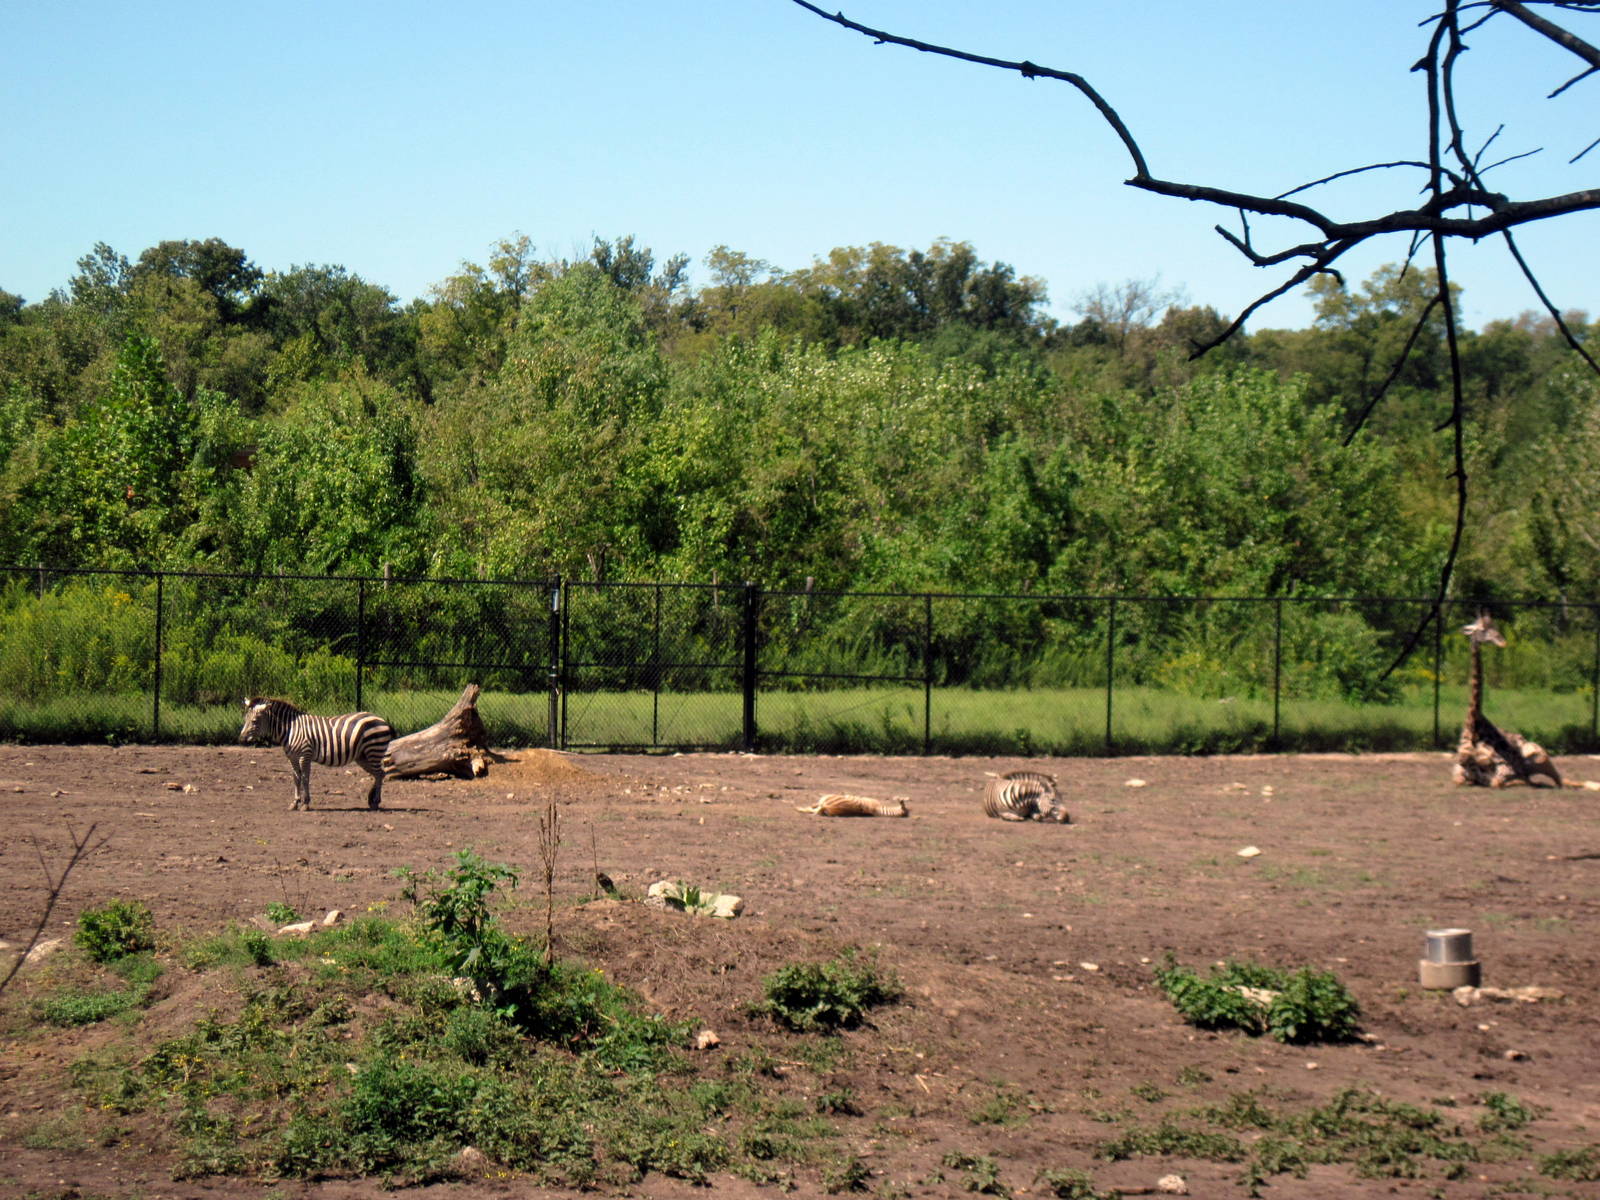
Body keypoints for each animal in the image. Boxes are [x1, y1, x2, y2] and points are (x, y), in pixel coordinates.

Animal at [239, 697, 394, 811]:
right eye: (245, 719)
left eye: (254, 721)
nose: (241, 738)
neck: (290, 730)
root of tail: (381, 719)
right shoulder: (292, 757)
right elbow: (296, 779)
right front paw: (294, 803)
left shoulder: (305, 755)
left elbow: (305, 778)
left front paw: (305, 804)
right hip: (362, 756)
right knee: (378, 774)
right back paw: (371, 799)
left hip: (373, 751)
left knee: (379, 773)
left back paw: (375, 802)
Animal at [1452, 612, 1562, 788]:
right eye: (1482, 629)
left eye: (1495, 627)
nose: (1502, 642)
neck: (1473, 725)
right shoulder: (1459, 770)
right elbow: (1462, 777)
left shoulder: (1504, 770)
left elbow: (1501, 780)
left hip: (1539, 755)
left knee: (1558, 780)